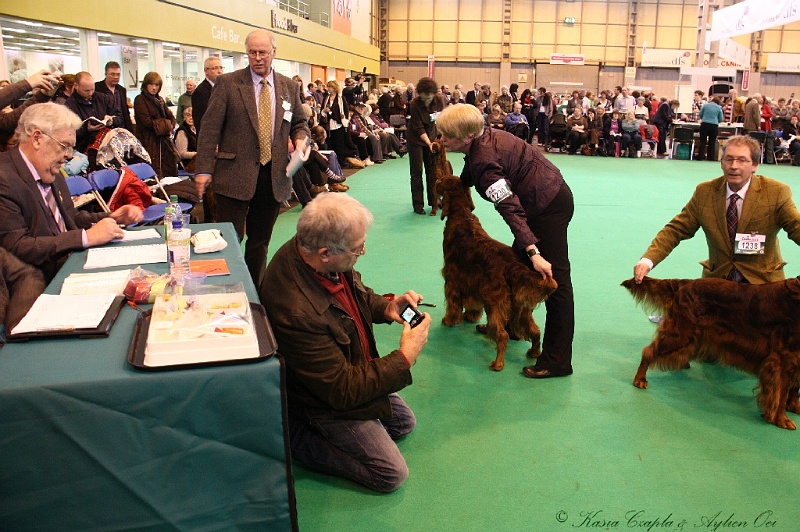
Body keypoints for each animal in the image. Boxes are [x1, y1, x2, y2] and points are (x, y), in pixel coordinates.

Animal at [620, 276, 800, 430]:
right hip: (681, 333)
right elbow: (782, 393)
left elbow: (794, 388)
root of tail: (685, 283)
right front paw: (782, 419)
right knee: (648, 351)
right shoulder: (784, 358)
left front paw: (794, 407)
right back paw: (640, 380)